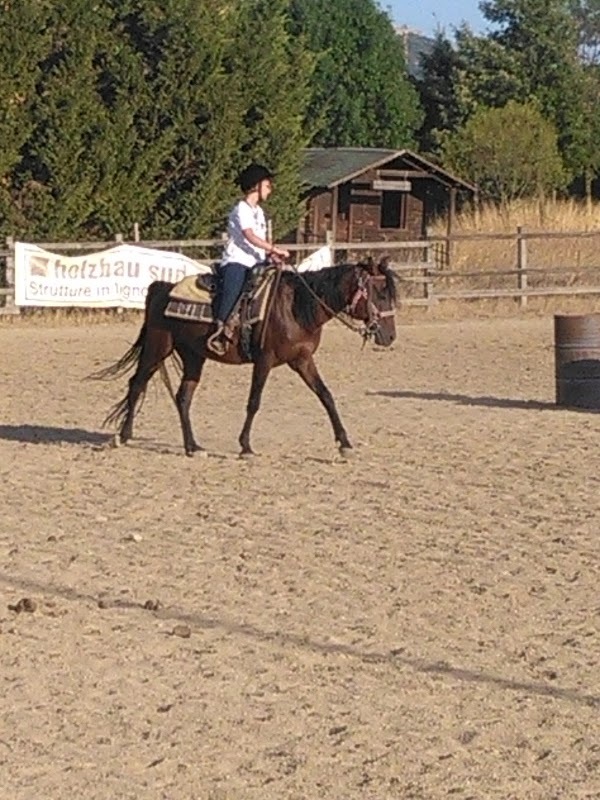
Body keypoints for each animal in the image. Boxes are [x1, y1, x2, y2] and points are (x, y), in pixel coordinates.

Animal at [95, 258, 398, 456]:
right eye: (380, 293)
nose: (390, 336)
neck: (295, 306)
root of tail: (160, 287)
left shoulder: (302, 360)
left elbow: (326, 396)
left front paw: (345, 443)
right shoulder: (264, 360)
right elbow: (254, 402)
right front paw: (246, 446)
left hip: (193, 356)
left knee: (182, 397)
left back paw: (193, 446)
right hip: (158, 348)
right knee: (137, 383)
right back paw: (123, 436)